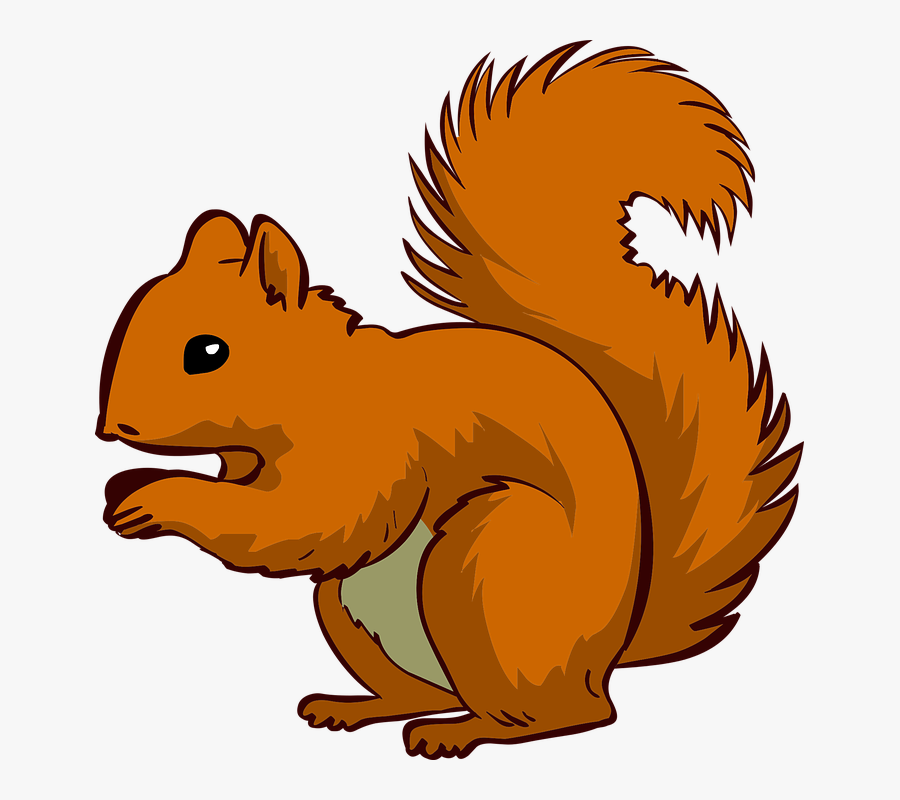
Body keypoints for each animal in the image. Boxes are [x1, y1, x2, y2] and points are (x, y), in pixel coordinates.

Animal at [97, 43, 802, 759]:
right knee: (431, 694)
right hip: (348, 608)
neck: (319, 384)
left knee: (568, 714)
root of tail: (608, 653)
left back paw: (463, 732)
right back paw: (360, 708)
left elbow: (304, 522)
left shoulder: (370, 451)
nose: (110, 427)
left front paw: (154, 495)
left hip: (484, 567)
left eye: (207, 352)